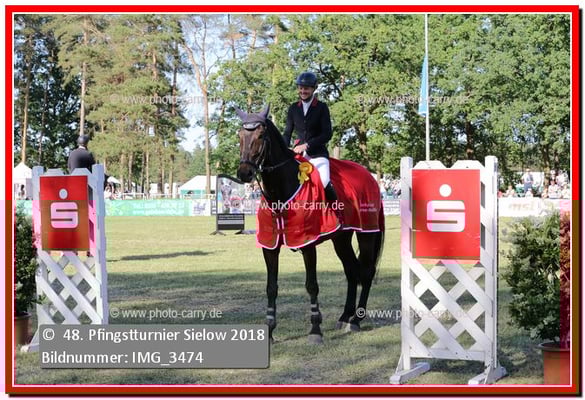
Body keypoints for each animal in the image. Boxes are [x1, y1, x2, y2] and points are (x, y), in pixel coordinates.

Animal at [236, 105, 385, 344]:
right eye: (239, 136)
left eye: (260, 136)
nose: (244, 173)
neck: (281, 189)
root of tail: (369, 176)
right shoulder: (270, 246)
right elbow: (271, 287)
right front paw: (270, 331)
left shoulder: (308, 244)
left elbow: (312, 285)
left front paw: (315, 330)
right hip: (341, 238)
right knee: (351, 270)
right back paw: (345, 316)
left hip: (367, 233)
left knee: (366, 271)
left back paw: (356, 320)